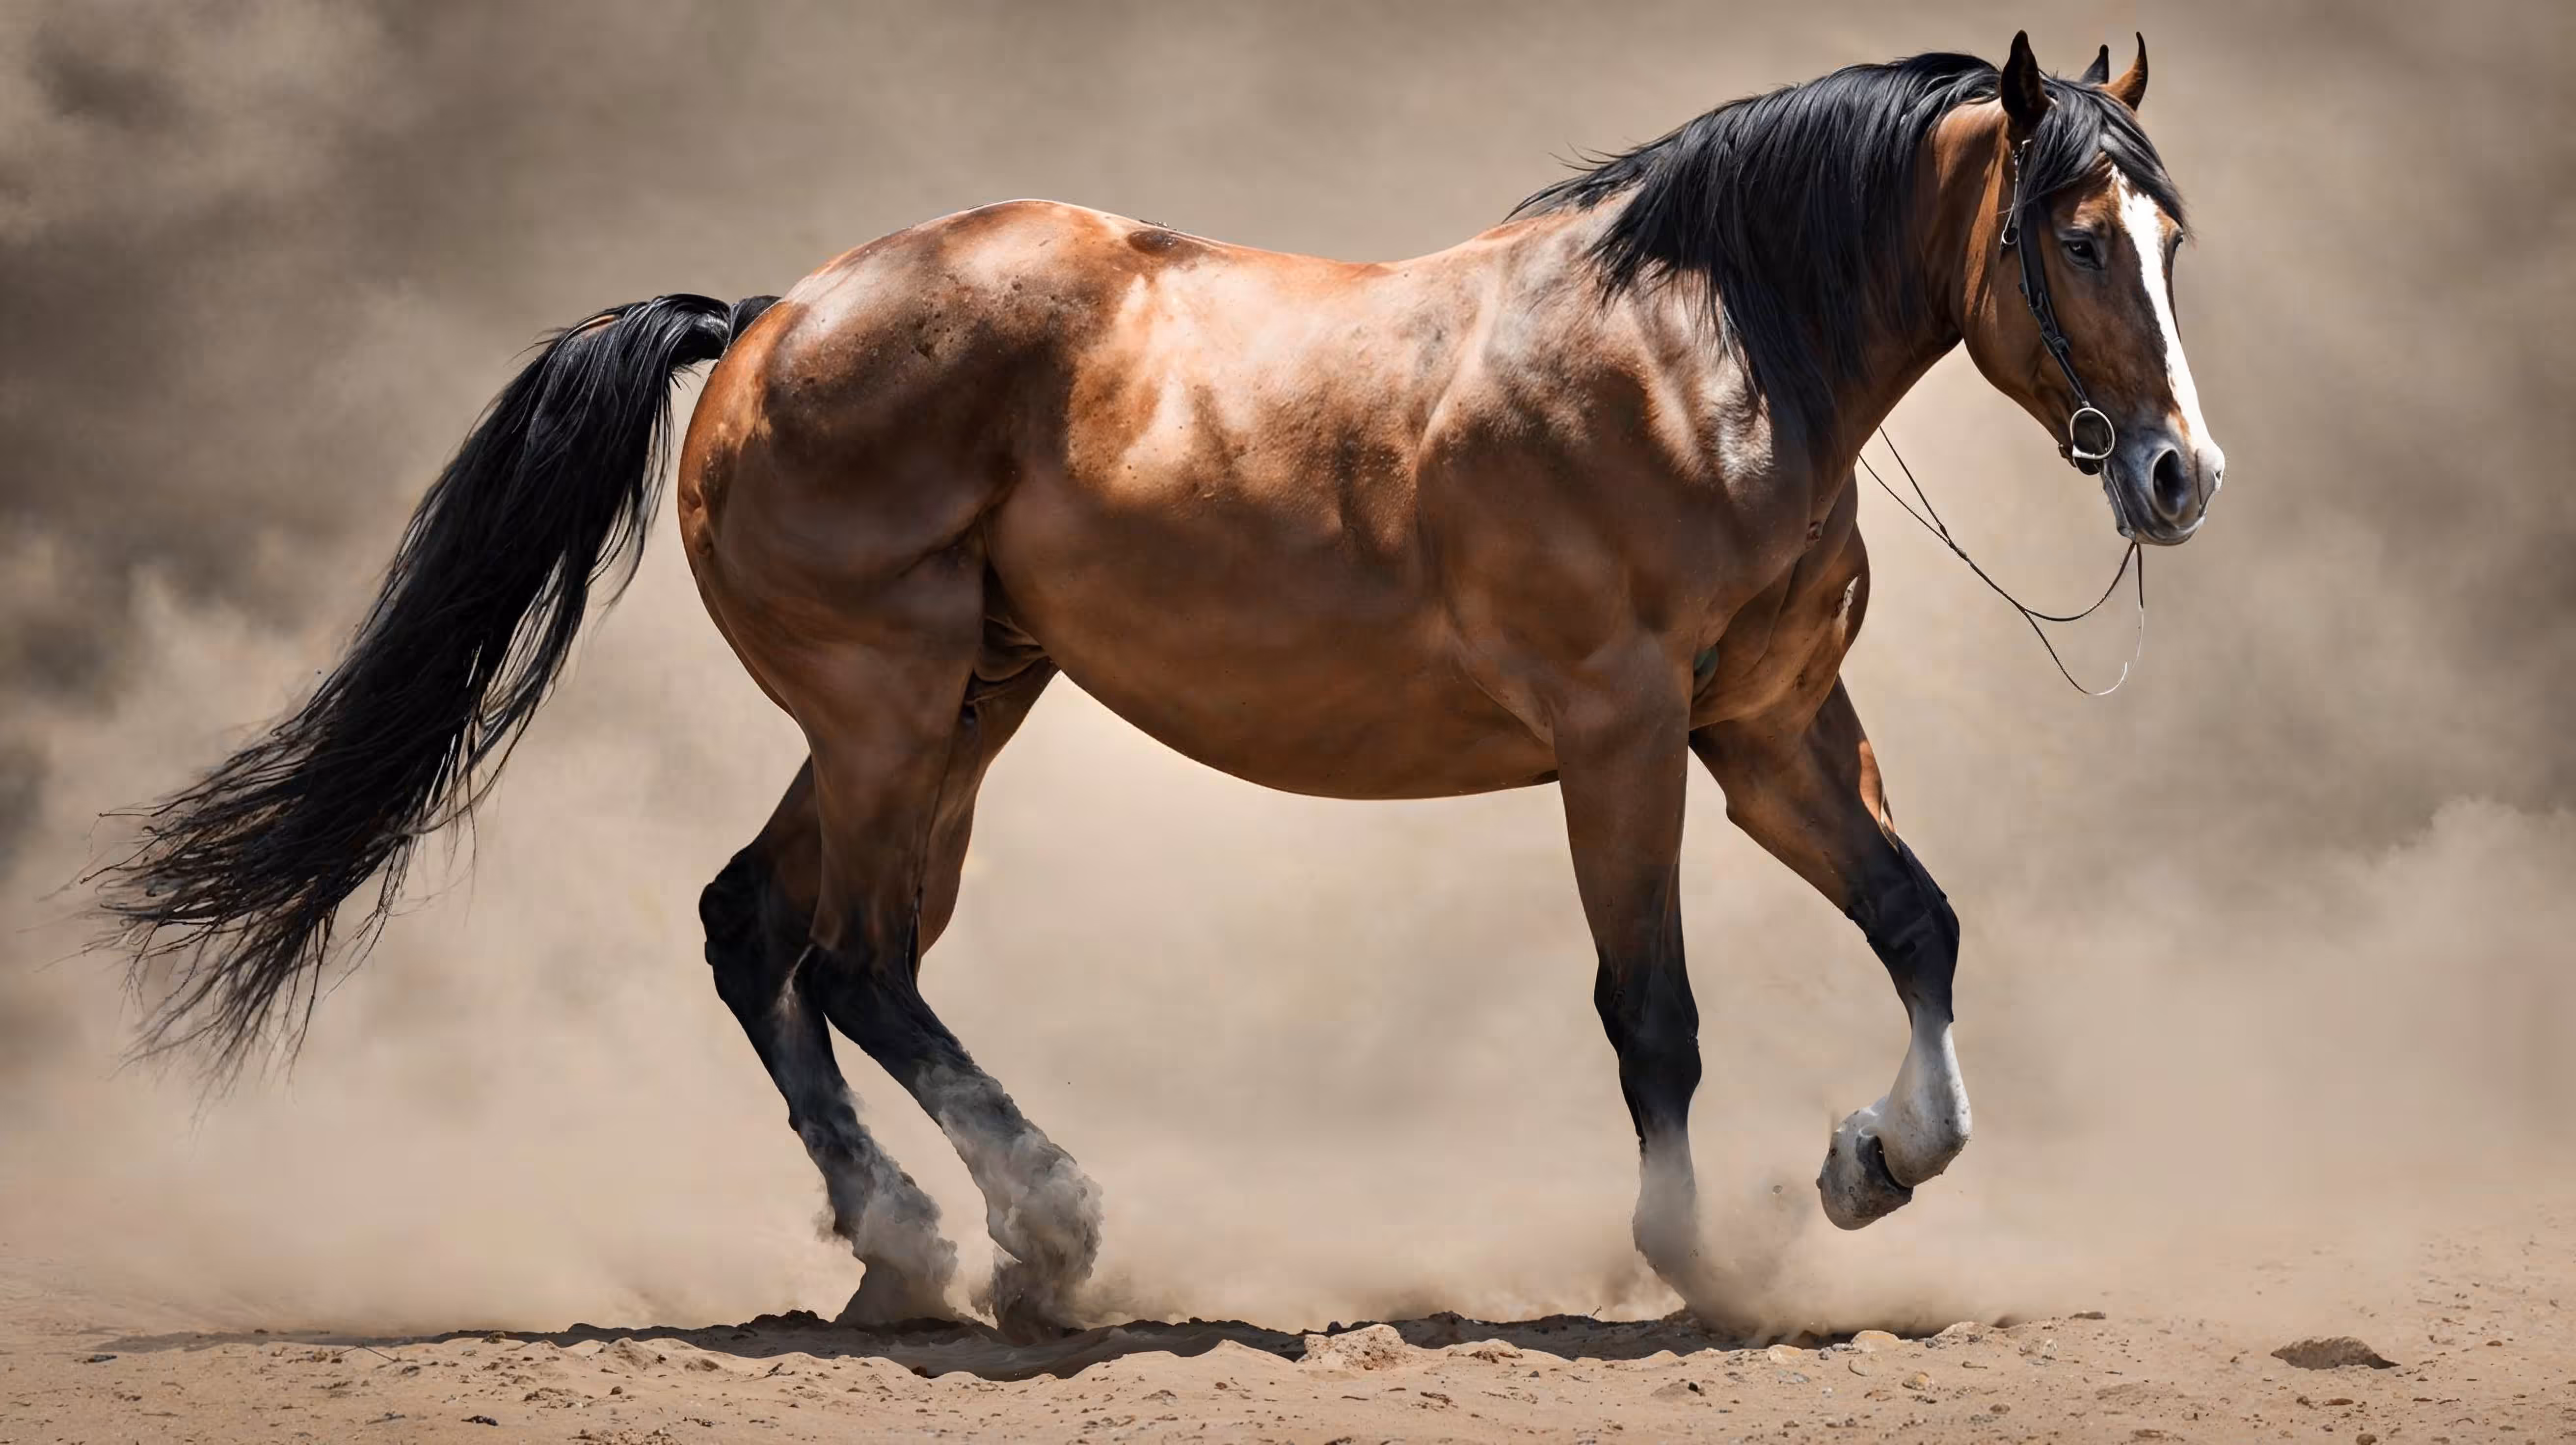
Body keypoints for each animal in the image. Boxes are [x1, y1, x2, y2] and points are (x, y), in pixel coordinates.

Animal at [102, 32, 2220, 1336]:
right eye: (2072, 234)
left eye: (2172, 235)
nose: (2177, 475)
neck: (1694, 362)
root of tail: (771, 315)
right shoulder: (1618, 734)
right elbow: (1652, 1016)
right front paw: (1705, 1258)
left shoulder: (1765, 735)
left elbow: (1918, 920)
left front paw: (1868, 1167)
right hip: (891, 710)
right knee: (844, 956)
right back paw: (1037, 1225)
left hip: (956, 708)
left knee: (768, 935)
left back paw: (918, 1250)